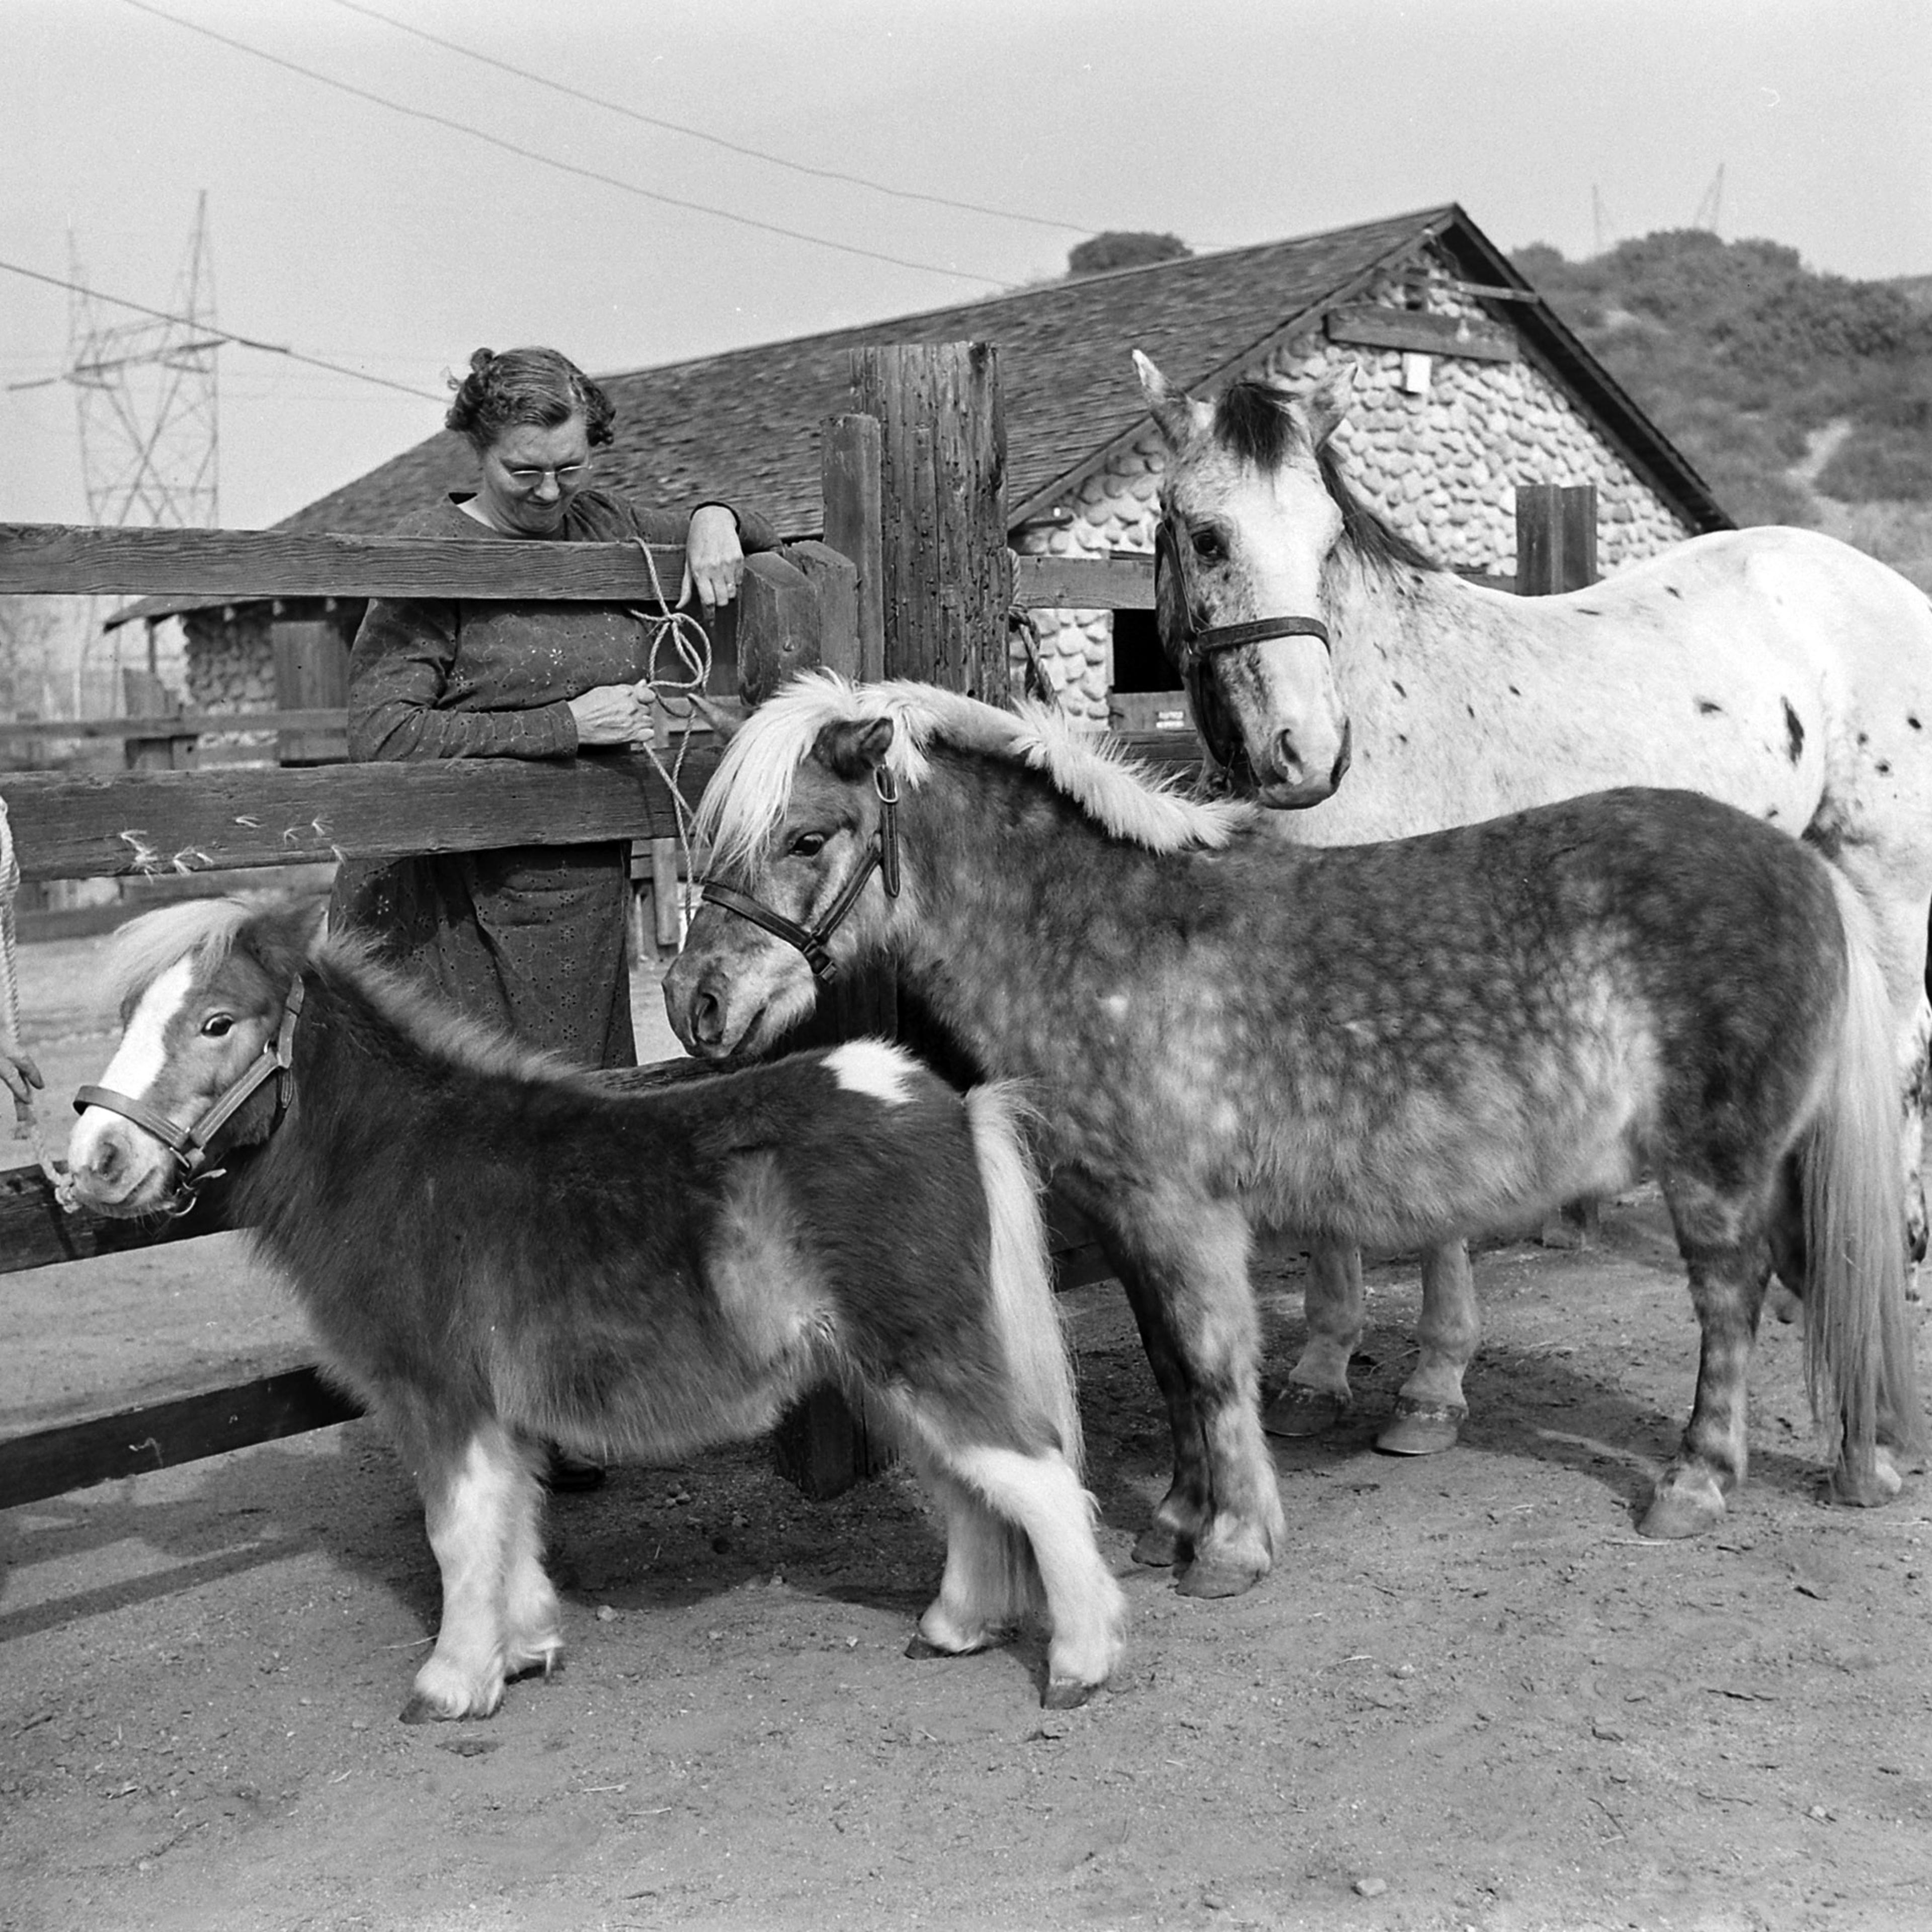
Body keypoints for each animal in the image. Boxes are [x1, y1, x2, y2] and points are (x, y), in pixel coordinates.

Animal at [63, 895, 1126, 1719]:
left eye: (217, 1023)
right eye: (128, 1017)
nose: (92, 1166)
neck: (399, 1164)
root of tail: (948, 1103)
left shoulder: (437, 1395)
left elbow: (456, 1530)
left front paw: (453, 1682)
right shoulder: (496, 1410)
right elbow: (512, 1520)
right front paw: (524, 1646)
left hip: (922, 1349)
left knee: (1035, 1476)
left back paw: (1080, 1664)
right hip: (884, 1365)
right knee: (968, 1481)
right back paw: (955, 1627)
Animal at [662, 672, 1923, 1598]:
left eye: (809, 838)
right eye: (712, 841)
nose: (695, 1004)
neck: (1105, 935)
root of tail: (1805, 869)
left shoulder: (1182, 1212)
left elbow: (1218, 1364)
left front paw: (1232, 1546)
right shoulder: (1127, 1218)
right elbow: (1173, 1366)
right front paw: (1178, 1515)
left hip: (1719, 1169)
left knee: (1733, 1301)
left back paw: (1697, 1485)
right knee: (1829, 1275)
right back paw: (1867, 1464)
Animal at [1133, 348, 1932, 1456]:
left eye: (1328, 539)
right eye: (1208, 536)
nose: (1308, 754)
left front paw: (1431, 1391)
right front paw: (1321, 1370)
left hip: (1885, 874)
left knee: (1902, 1051)